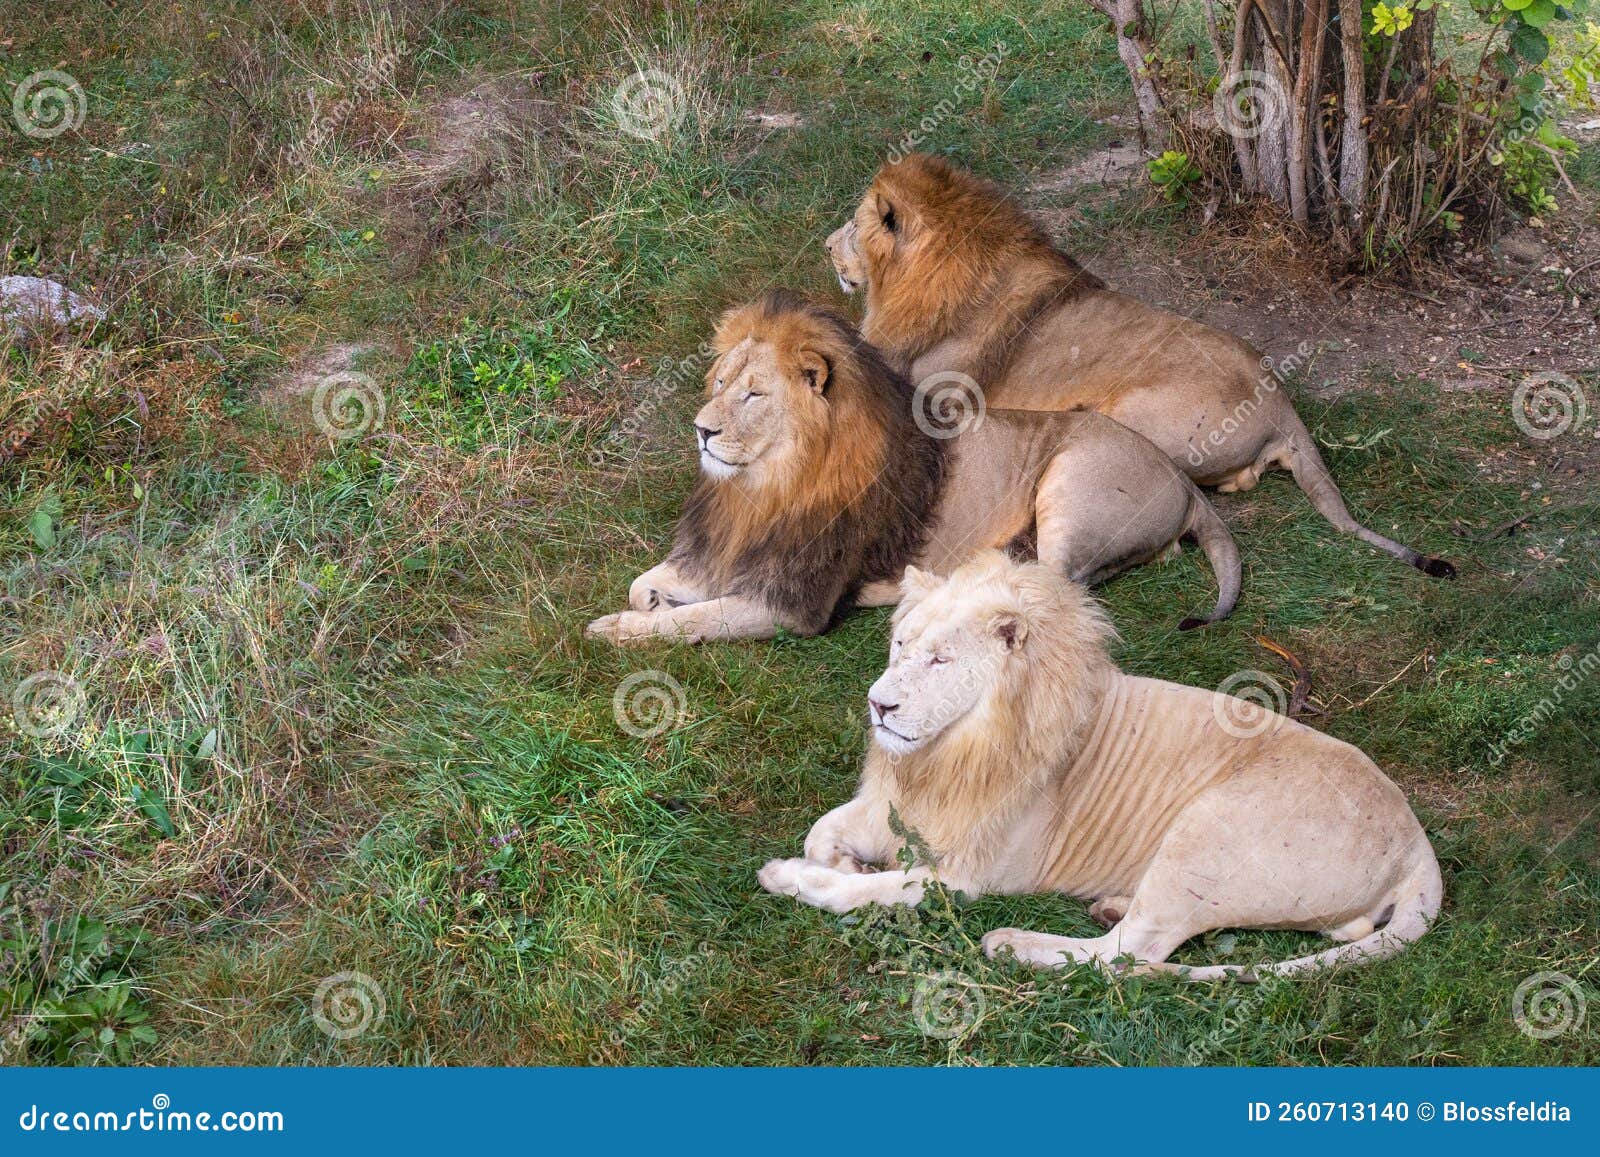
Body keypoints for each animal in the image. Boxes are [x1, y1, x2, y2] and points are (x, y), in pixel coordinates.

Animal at [755, 550, 1446, 979]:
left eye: (941, 661)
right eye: (900, 644)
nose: (879, 704)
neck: (952, 751)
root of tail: (1418, 844)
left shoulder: (967, 877)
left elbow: (866, 891)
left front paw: (793, 877)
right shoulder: (904, 807)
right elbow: (824, 832)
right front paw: (841, 859)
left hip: (1208, 831)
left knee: (1131, 952)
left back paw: (1015, 945)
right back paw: (1110, 904)